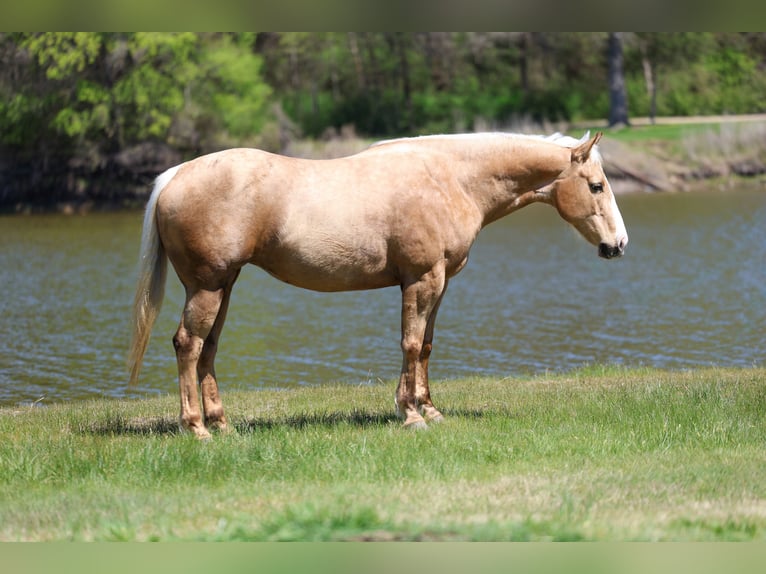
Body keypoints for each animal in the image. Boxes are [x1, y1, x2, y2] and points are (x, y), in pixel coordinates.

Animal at [128, 131, 628, 439]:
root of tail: (175, 176)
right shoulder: (422, 280)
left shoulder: (440, 283)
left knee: (208, 349)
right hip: (207, 287)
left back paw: (222, 424)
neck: (450, 178)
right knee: (188, 344)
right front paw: (410, 415)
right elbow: (409, 343)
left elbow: (425, 347)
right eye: (597, 186)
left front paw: (430, 409)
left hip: (223, 286)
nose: (618, 245)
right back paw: (196, 428)